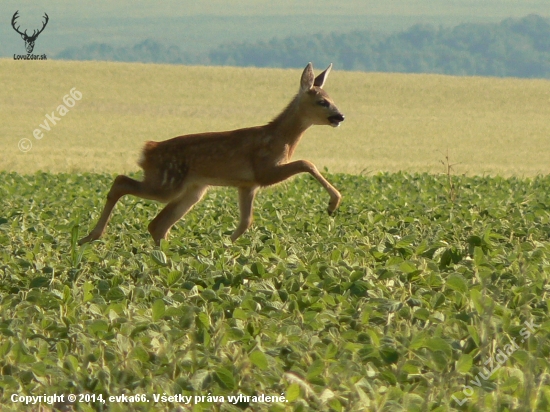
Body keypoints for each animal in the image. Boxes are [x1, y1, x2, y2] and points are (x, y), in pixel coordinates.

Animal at [78, 62, 344, 246]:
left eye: (332, 98)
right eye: (322, 101)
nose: (340, 116)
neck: (281, 140)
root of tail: (148, 150)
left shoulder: (247, 184)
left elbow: (246, 222)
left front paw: (225, 246)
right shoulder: (264, 169)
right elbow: (306, 162)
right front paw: (333, 204)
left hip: (193, 189)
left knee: (157, 225)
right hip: (166, 183)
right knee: (121, 183)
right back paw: (90, 236)